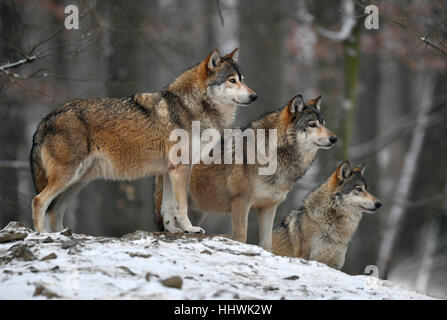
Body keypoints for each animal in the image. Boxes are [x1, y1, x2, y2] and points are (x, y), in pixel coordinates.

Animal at [29, 48, 258, 232]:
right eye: (232, 80)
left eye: (243, 78)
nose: (254, 96)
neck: (191, 107)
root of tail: (44, 121)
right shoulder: (181, 169)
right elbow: (181, 206)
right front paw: (190, 229)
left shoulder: (168, 171)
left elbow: (167, 208)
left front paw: (173, 231)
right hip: (68, 177)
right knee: (39, 201)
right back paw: (43, 235)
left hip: (78, 181)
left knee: (55, 211)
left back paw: (61, 235)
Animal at [156, 94, 338, 251]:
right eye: (312, 124)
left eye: (323, 123)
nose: (334, 138)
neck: (276, 154)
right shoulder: (241, 202)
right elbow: (241, 237)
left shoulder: (269, 207)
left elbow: (267, 244)